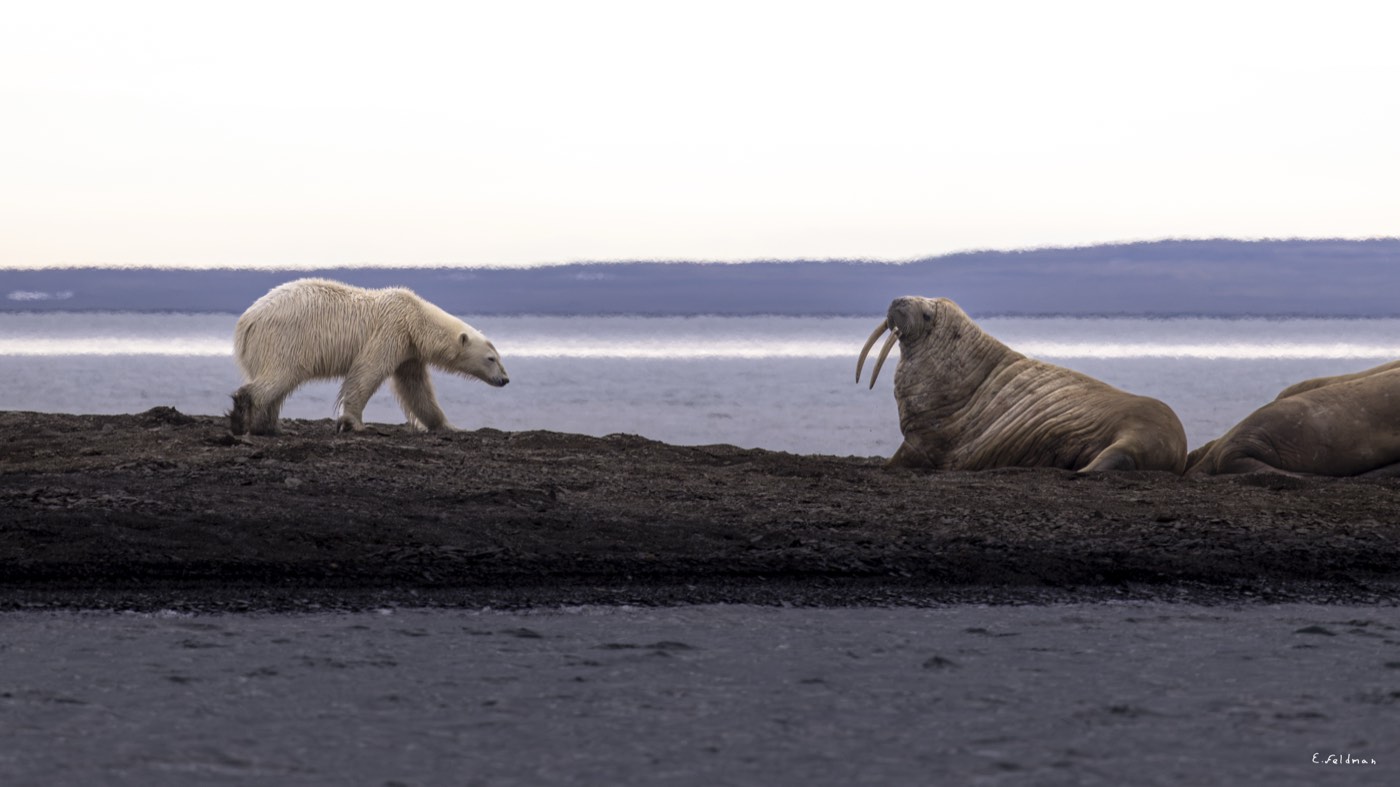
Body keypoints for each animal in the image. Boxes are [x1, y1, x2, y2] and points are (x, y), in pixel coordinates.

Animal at [228, 278, 509, 436]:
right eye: (491, 359)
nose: (505, 379)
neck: (416, 319)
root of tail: (246, 321)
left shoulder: (409, 352)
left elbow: (416, 389)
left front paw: (448, 426)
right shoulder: (392, 331)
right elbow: (367, 372)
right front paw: (355, 423)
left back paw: (271, 426)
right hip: (285, 340)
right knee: (280, 376)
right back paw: (244, 413)